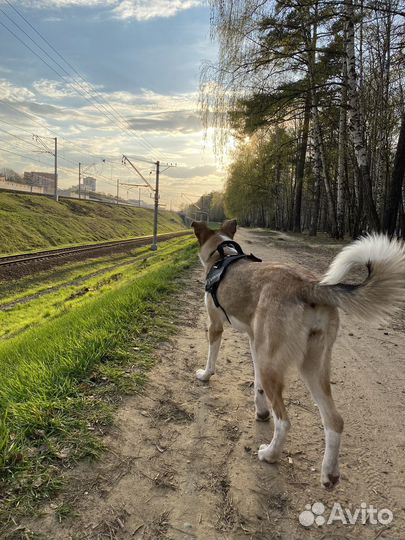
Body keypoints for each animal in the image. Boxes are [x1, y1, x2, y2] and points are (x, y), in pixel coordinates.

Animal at [191, 218, 402, 490]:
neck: (223, 255)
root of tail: (308, 286)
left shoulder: (216, 326)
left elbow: (212, 359)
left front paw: (205, 375)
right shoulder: (255, 343)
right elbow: (257, 386)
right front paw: (261, 412)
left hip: (275, 365)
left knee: (284, 420)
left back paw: (269, 454)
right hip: (310, 366)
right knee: (334, 420)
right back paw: (329, 474)